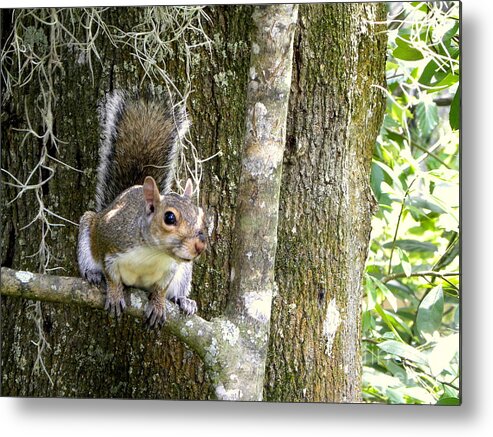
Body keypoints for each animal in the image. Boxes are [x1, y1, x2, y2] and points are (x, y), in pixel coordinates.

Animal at [76, 89, 206, 328]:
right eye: (169, 218)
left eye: (202, 217)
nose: (199, 246)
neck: (153, 252)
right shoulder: (110, 243)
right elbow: (111, 276)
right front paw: (115, 294)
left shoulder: (172, 269)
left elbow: (161, 289)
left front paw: (158, 304)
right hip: (89, 228)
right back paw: (91, 273)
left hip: (183, 273)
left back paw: (184, 300)